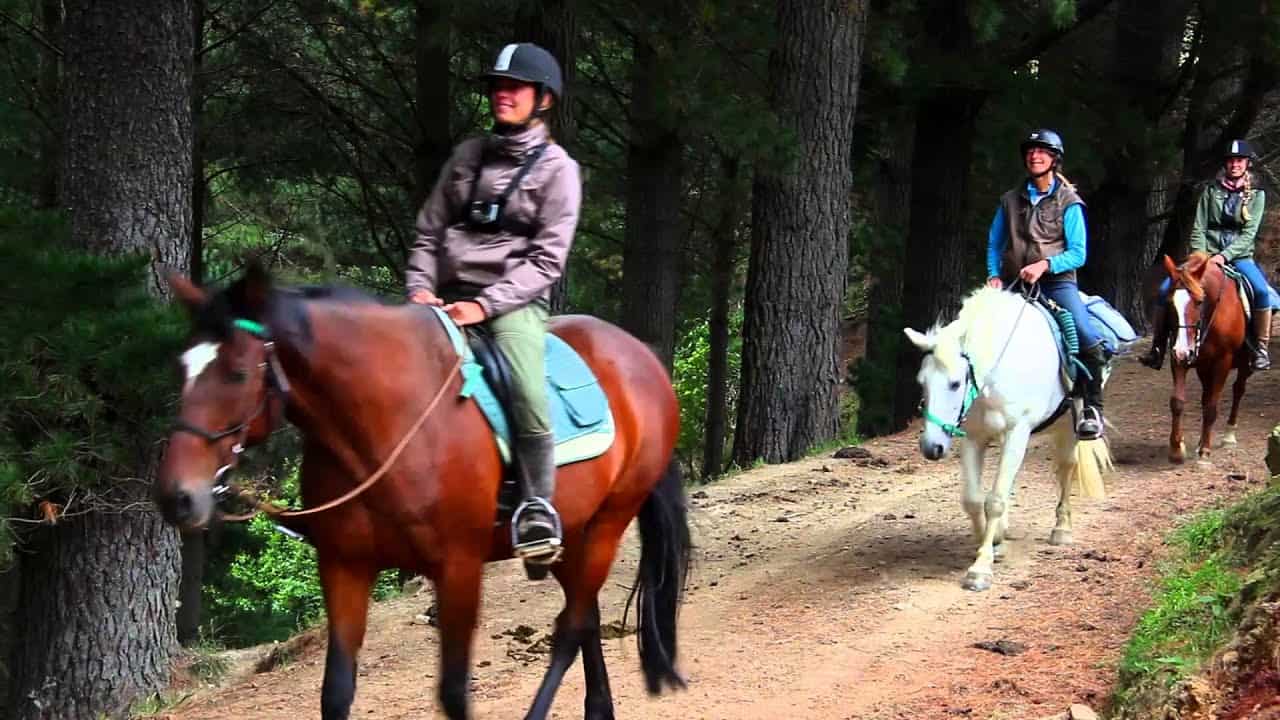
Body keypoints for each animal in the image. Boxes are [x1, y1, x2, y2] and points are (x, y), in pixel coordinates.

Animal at [152, 263, 691, 717]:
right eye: (179, 370)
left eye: (238, 373)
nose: (177, 496)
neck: (387, 425)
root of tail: (641, 357)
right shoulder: (345, 567)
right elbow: (337, 691)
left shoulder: (459, 568)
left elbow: (453, 693)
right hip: (572, 533)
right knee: (586, 619)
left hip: (608, 524)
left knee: (571, 627)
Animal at [901, 284, 1111, 589]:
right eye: (922, 383)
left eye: (955, 383)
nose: (931, 447)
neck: (995, 373)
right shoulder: (974, 438)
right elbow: (973, 499)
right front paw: (993, 542)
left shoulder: (1016, 432)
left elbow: (995, 501)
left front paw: (980, 568)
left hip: (1070, 424)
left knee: (1066, 468)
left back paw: (1061, 529)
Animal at [1162, 252, 1249, 461]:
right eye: (1169, 303)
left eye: (1199, 301)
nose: (1183, 351)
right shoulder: (1178, 358)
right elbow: (1177, 402)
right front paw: (1176, 448)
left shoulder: (1222, 362)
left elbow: (1211, 407)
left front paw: (1205, 451)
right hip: (1203, 367)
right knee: (1206, 395)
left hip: (1244, 363)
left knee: (1238, 390)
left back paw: (1228, 436)